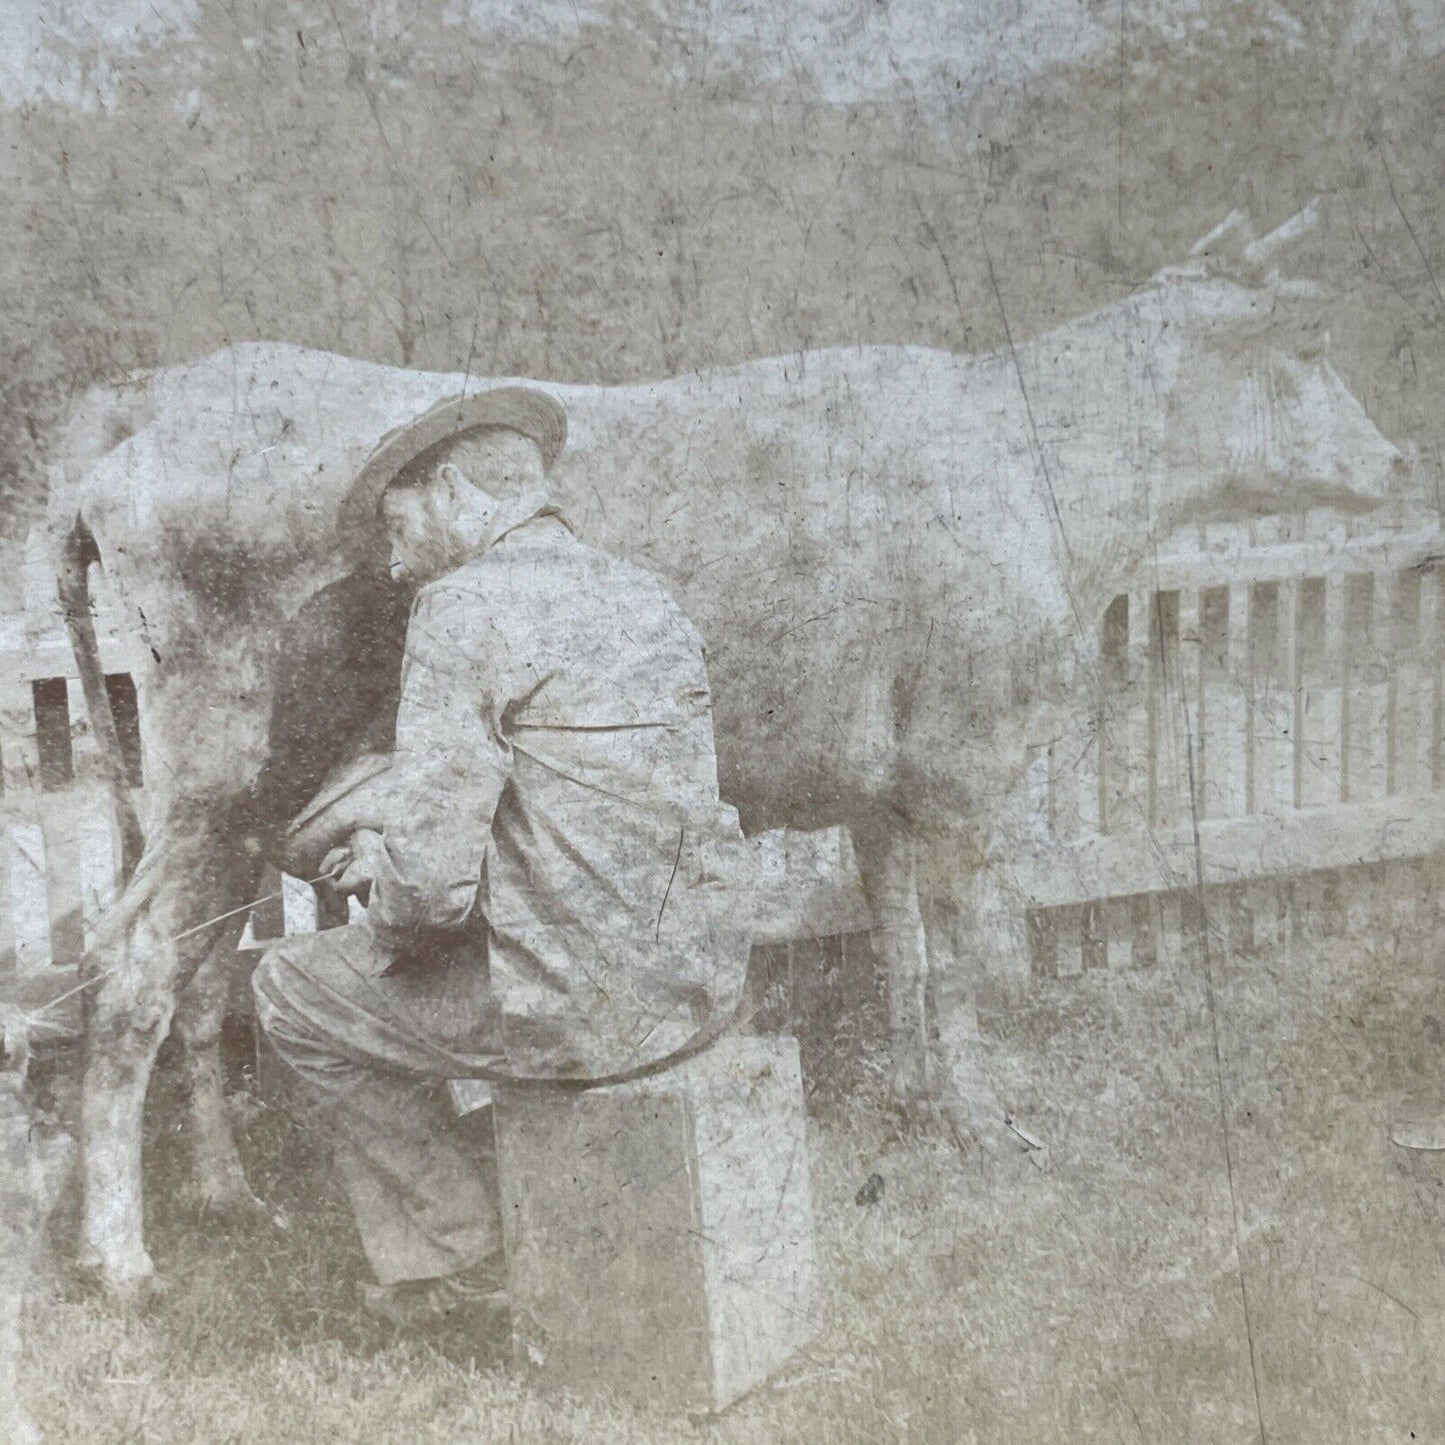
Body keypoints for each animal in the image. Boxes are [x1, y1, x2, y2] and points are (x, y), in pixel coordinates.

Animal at [50, 203, 1404, 1300]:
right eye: (1305, 345)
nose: (1397, 460)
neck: (1033, 473)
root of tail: (168, 390)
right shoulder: (968, 761)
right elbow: (973, 958)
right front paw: (984, 1124)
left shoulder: (885, 783)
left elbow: (904, 943)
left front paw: (916, 1096)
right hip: (218, 763)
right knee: (132, 974)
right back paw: (121, 1256)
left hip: (229, 793)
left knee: (202, 976)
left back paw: (223, 1193)